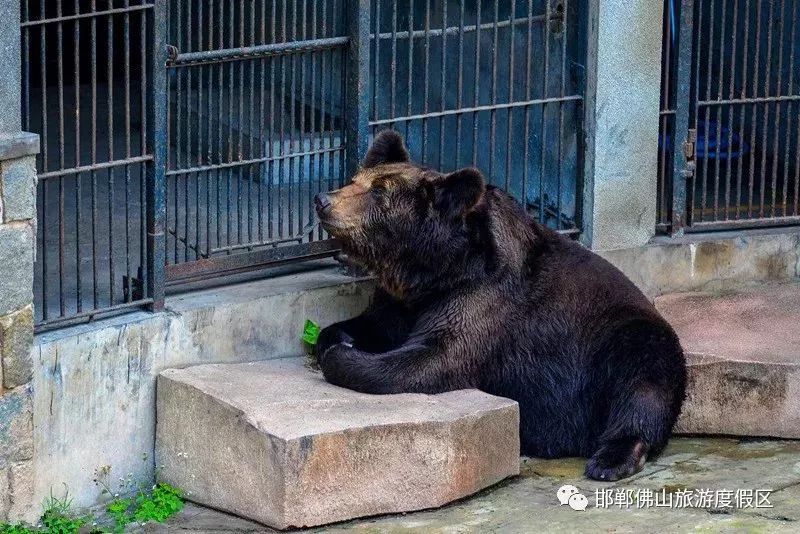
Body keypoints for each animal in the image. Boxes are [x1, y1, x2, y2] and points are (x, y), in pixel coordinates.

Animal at [312, 131, 688, 486]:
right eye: (356, 178)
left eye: (378, 191)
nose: (323, 199)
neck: (435, 269)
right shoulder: (403, 300)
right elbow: (373, 323)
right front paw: (339, 337)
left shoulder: (485, 298)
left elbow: (435, 357)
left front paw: (342, 355)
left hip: (626, 340)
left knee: (640, 384)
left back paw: (612, 459)